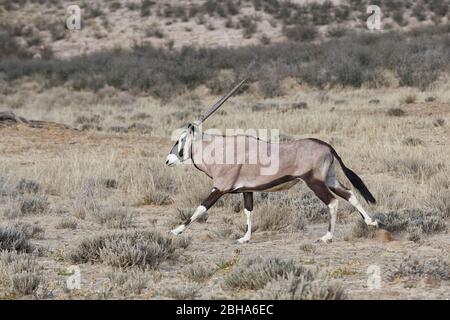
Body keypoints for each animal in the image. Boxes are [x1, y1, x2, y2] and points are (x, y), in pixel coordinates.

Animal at [166, 79, 380, 242]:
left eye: (181, 139)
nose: (168, 160)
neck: (219, 149)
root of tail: (327, 146)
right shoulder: (247, 190)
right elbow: (248, 211)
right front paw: (245, 238)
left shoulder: (219, 188)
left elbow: (200, 209)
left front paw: (176, 230)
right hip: (330, 179)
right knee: (349, 194)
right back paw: (372, 222)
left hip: (314, 182)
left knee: (333, 202)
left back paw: (327, 236)